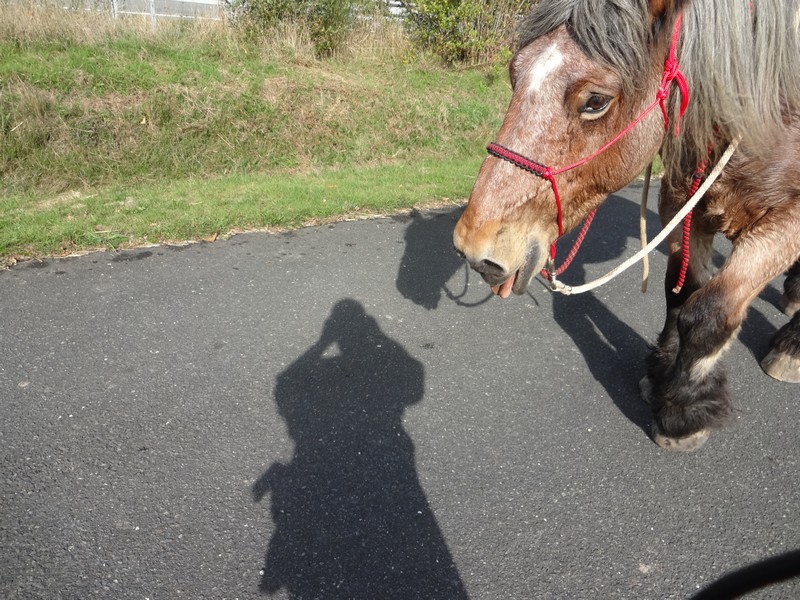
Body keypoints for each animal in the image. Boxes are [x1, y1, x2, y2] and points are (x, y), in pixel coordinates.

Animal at [454, 0, 800, 450]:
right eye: (515, 74)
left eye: (595, 101)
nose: (474, 246)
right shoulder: (682, 204)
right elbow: (680, 293)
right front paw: (661, 375)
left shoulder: (785, 224)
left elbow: (708, 313)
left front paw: (684, 410)